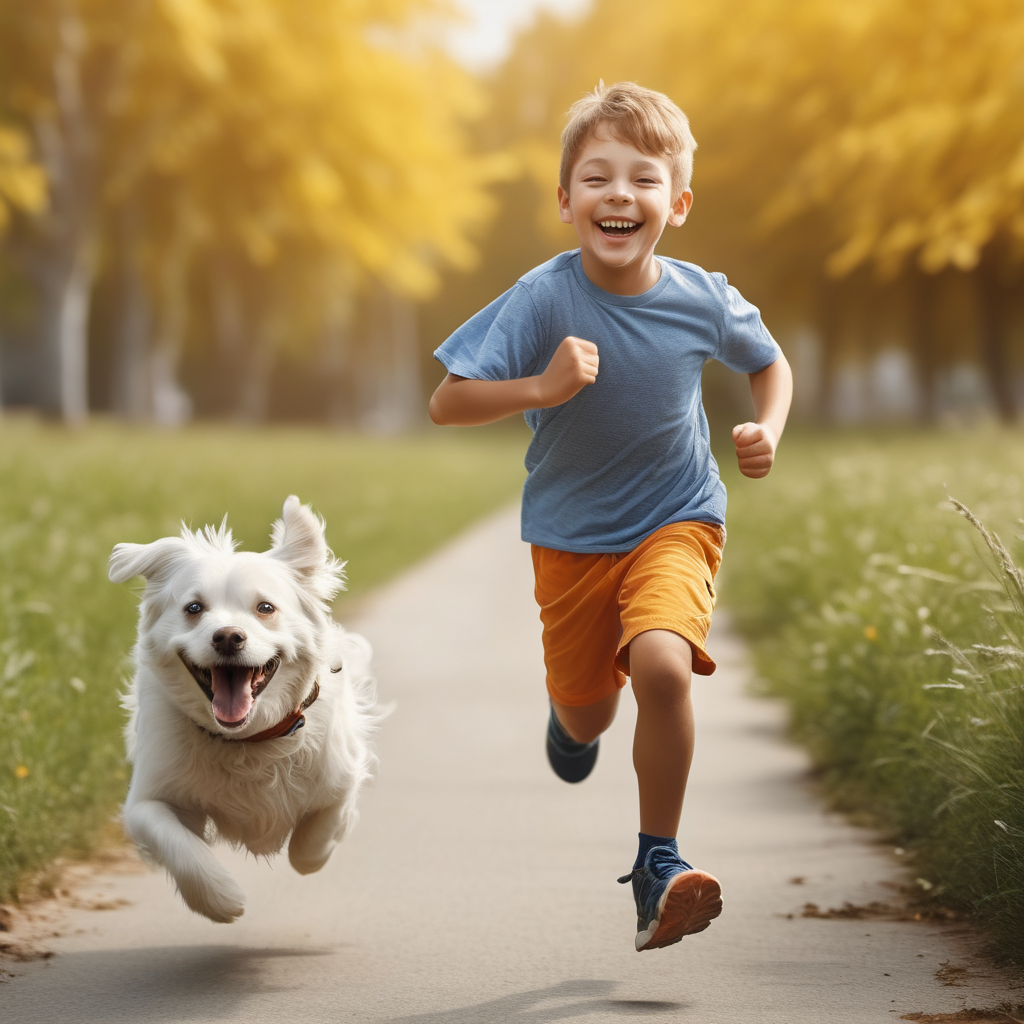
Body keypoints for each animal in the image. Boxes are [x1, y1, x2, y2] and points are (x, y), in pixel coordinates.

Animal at [107, 491, 376, 925]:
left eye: (265, 608)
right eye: (193, 608)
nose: (228, 636)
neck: (249, 739)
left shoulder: (341, 774)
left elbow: (319, 831)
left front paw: (309, 856)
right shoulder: (146, 799)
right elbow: (178, 844)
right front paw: (221, 898)